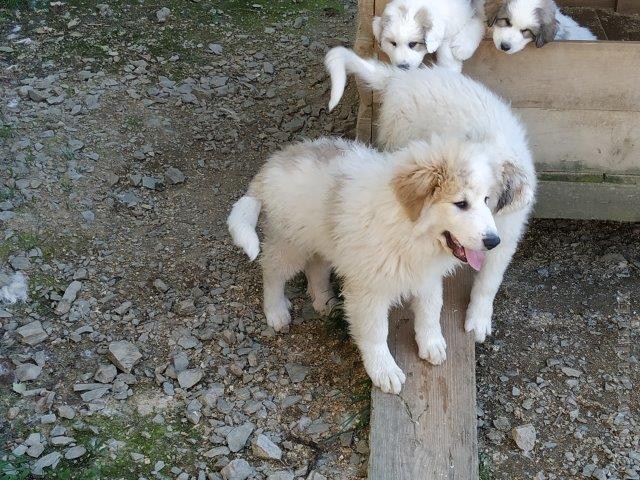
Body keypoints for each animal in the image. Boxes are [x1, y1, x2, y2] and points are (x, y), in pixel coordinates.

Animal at [230, 136, 504, 394]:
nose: (495, 241)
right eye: (461, 204)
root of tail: (274, 162)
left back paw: (323, 300)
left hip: (324, 240)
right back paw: (276, 311)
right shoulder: (369, 290)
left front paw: (432, 343)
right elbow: (376, 332)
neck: (408, 230)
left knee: (316, 266)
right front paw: (384, 370)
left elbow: (430, 311)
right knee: (272, 270)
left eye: (486, 200)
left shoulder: (426, 277)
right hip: (291, 243)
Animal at [324, 47, 536, 344]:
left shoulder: (506, 237)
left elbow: (488, 282)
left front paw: (478, 319)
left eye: (487, 198)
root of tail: (401, 78)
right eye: (462, 202)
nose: (490, 240)